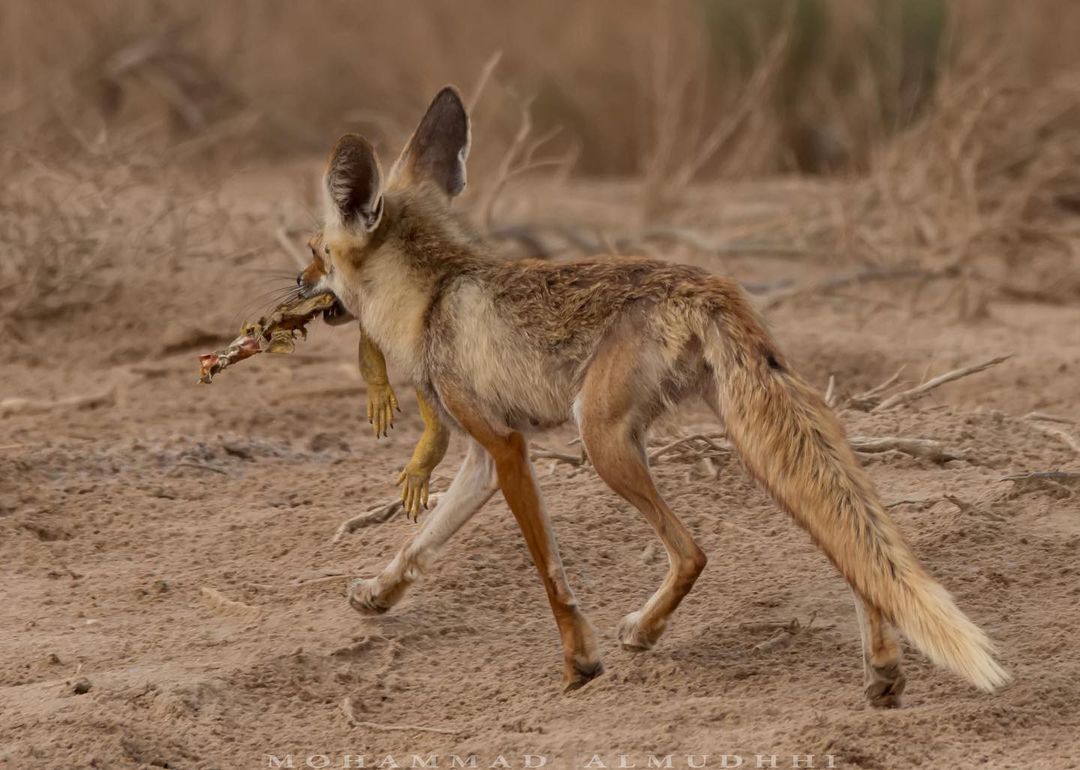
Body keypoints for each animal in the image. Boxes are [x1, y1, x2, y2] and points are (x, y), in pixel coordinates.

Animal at [291, 84, 1006, 704]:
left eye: (316, 251)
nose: (295, 285)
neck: (434, 295)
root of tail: (712, 282)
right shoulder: (481, 457)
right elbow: (420, 544)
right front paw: (378, 594)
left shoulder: (508, 447)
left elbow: (551, 575)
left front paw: (579, 662)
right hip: (756, 434)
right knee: (856, 553)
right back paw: (882, 671)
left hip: (604, 437)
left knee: (694, 551)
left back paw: (647, 632)